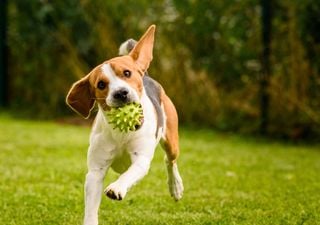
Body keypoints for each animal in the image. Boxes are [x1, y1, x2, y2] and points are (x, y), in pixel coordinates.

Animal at [65, 25, 182, 225]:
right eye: (101, 84)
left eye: (127, 73)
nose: (121, 93)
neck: (121, 133)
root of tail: (147, 75)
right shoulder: (95, 171)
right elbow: (91, 208)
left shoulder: (141, 159)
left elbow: (130, 173)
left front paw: (117, 188)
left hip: (171, 141)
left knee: (170, 160)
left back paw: (175, 186)